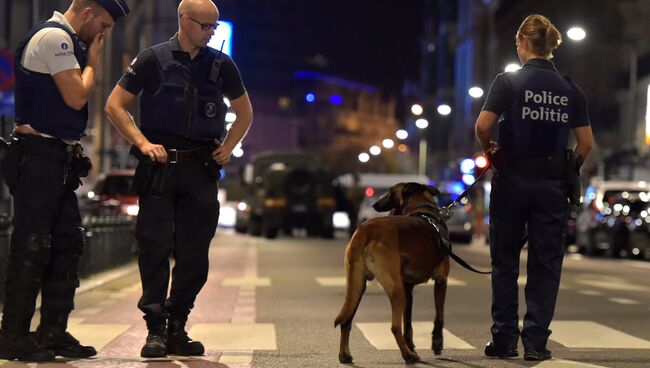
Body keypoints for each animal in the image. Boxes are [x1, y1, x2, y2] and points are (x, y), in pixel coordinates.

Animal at [332, 182, 448, 362]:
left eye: (390, 192)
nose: (374, 204)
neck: (422, 208)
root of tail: (365, 229)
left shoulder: (409, 288)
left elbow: (408, 322)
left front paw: (412, 344)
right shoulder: (441, 280)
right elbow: (439, 317)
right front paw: (437, 343)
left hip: (357, 285)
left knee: (346, 321)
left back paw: (345, 355)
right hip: (396, 290)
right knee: (394, 327)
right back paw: (408, 355)